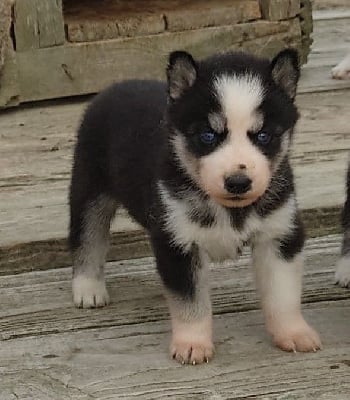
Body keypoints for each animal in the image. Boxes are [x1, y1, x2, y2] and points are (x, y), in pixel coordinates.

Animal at [69, 48, 322, 364]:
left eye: (263, 135)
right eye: (208, 136)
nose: (238, 182)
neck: (229, 210)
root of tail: (114, 88)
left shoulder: (279, 235)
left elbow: (283, 295)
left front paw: (293, 333)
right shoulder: (178, 242)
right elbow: (191, 303)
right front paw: (192, 343)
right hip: (89, 190)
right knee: (87, 236)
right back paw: (88, 287)